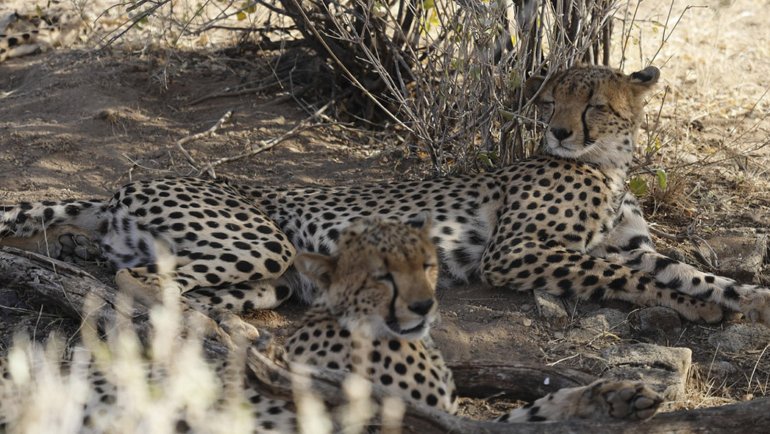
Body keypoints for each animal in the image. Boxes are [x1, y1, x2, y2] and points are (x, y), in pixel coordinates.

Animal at [2, 64, 770, 326]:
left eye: (596, 106)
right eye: (552, 99)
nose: (557, 131)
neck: (607, 164)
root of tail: (115, 187)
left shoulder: (635, 244)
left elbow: (683, 270)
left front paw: (741, 298)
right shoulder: (515, 254)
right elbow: (622, 274)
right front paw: (697, 307)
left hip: (272, 274)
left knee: (169, 279)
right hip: (261, 240)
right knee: (135, 281)